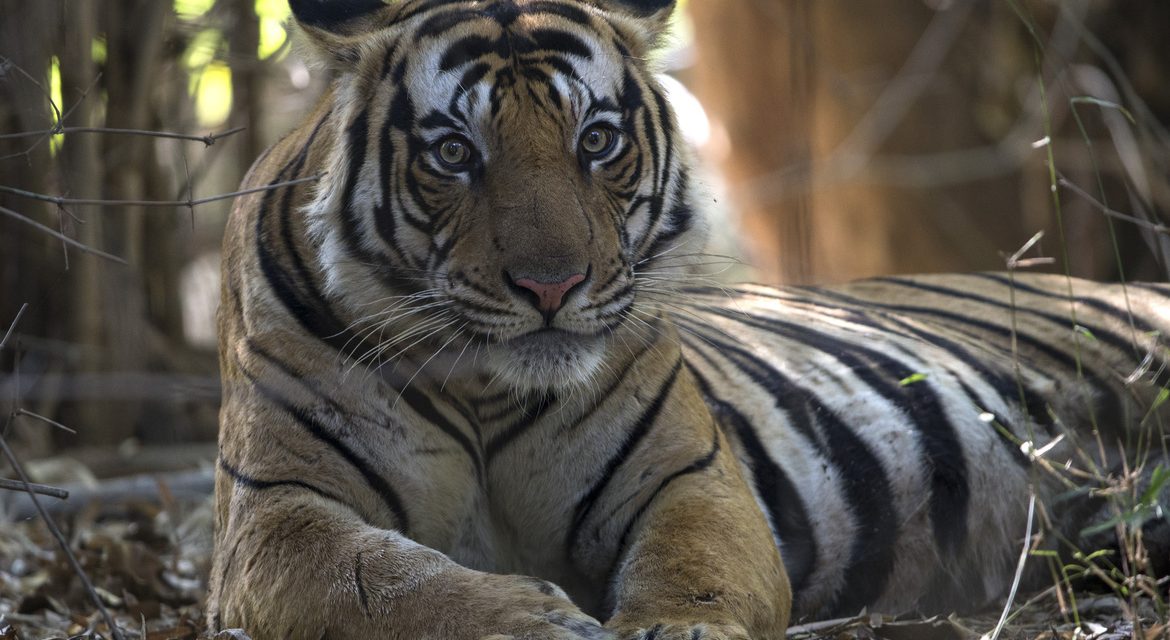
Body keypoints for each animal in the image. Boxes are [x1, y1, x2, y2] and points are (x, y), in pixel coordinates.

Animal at [208, 0, 1170, 638]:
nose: (552, 286)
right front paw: (531, 621)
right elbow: (379, 580)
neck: (484, 390)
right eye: (454, 153)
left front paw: (676, 628)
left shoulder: (691, 477)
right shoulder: (275, 513)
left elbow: (694, 562)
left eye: (596, 141)